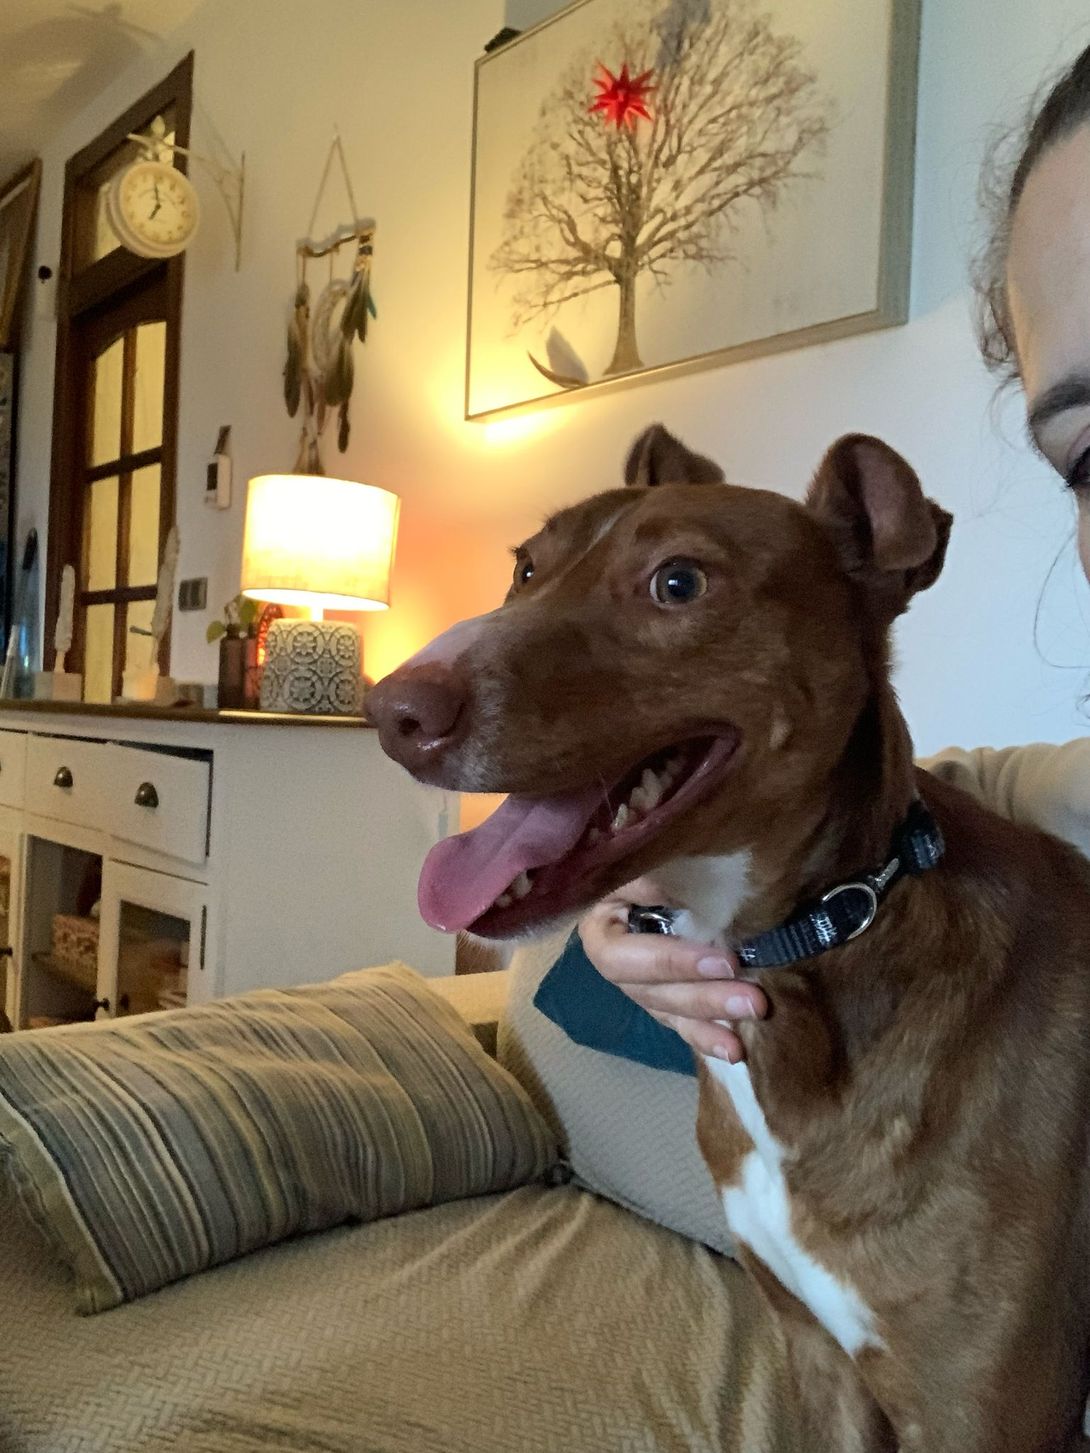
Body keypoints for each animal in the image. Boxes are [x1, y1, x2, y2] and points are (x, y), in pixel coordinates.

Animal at [367, 425, 1090, 1452]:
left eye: (679, 583)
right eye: (525, 568)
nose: (392, 713)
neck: (813, 945)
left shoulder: (984, 1411)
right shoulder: (820, 1358)